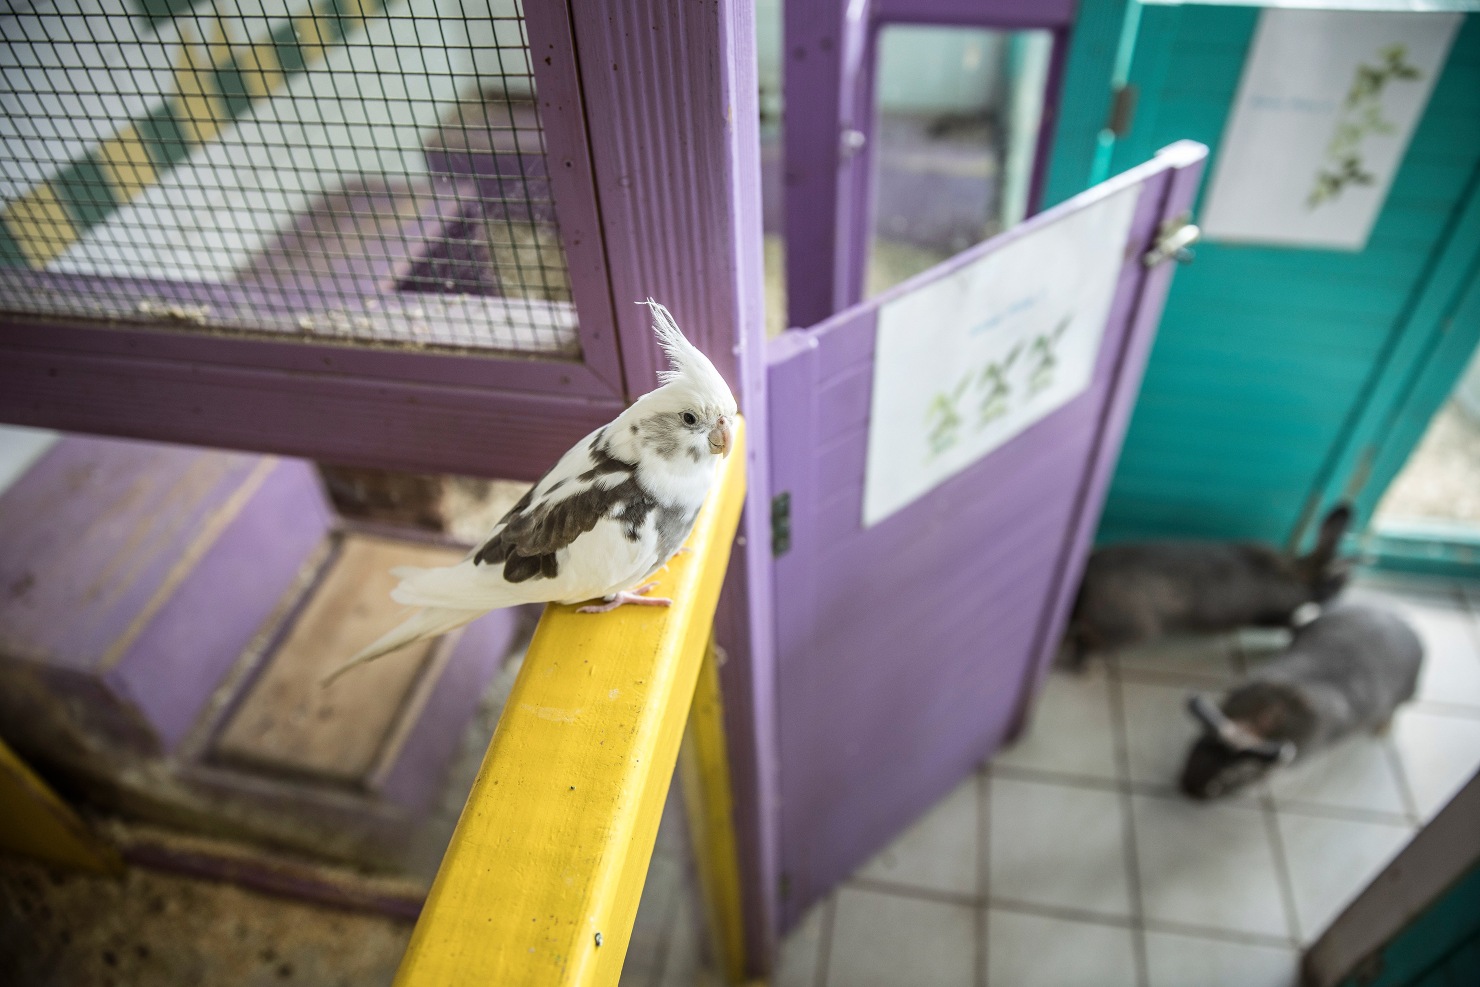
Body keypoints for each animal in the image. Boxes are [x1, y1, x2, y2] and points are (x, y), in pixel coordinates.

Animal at [1065, 503, 1353, 668]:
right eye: (1336, 582)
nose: (1342, 595)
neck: (1297, 575)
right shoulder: (1274, 615)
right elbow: (1289, 622)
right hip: (1134, 629)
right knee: (1088, 641)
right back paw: (1082, 664)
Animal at [1179, 603, 1423, 800]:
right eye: (1200, 743)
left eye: (1232, 775)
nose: (1191, 789)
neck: (1262, 720)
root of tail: (1408, 628)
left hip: (1405, 695)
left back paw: (1382, 729)